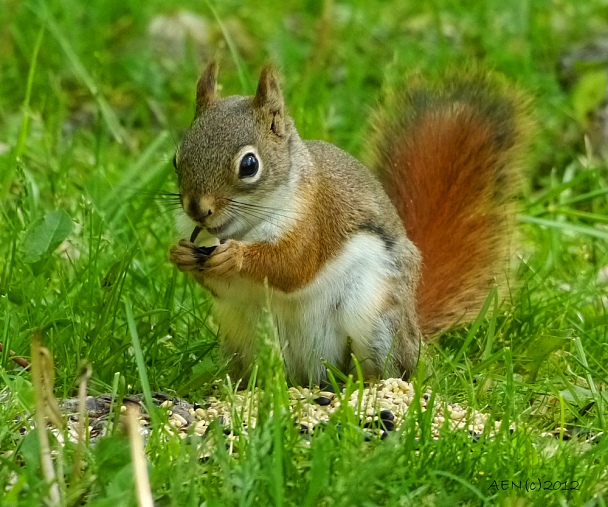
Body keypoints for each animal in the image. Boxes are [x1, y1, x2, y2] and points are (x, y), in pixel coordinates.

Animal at [169, 62, 528, 384]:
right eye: (176, 159)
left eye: (249, 165)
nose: (197, 209)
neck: (243, 227)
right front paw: (180, 255)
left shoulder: (316, 224)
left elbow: (292, 264)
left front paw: (237, 256)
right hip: (243, 331)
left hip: (375, 316)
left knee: (389, 368)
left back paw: (367, 384)